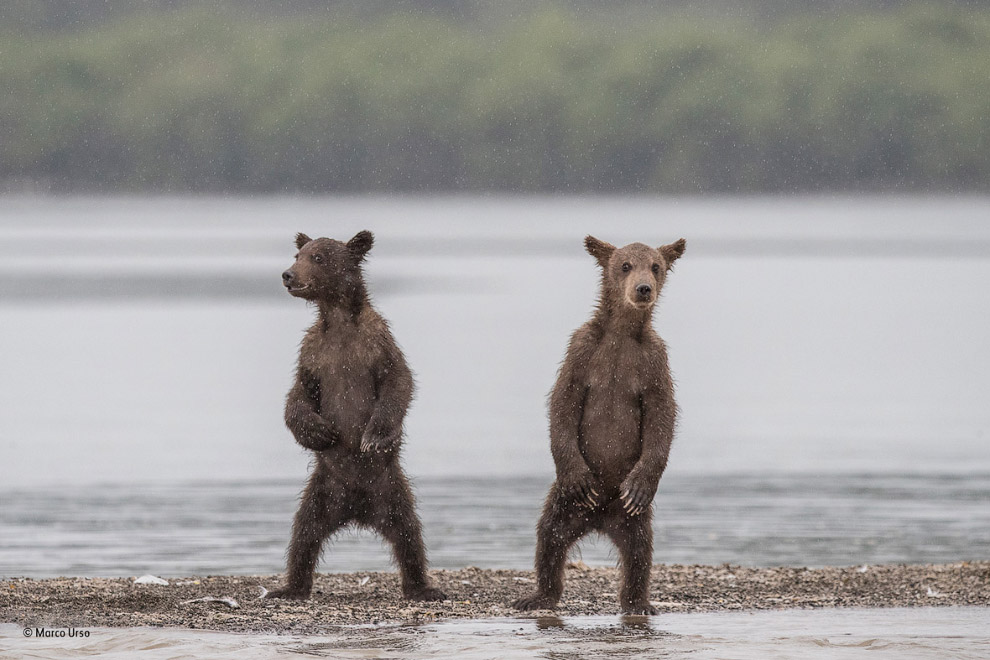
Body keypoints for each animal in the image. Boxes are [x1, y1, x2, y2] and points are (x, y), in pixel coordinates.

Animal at [268, 231, 446, 604]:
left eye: (318, 257)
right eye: (298, 254)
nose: (287, 275)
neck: (338, 320)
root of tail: (357, 509)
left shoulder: (376, 344)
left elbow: (398, 383)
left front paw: (373, 437)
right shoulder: (313, 355)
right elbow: (298, 397)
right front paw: (319, 433)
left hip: (390, 488)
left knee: (409, 534)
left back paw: (422, 587)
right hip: (323, 490)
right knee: (304, 534)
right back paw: (290, 587)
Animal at [516, 235, 684, 616]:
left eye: (656, 266)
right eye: (625, 265)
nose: (643, 288)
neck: (622, 332)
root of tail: (600, 519)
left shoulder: (654, 362)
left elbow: (662, 416)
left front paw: (641, 483)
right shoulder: (583, 352)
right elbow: (563, 403)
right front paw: (579, 478)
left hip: (634, 517)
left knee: (640, 551)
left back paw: (639, 602)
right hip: (565, 504)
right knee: (549, 536)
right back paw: (538, 596)